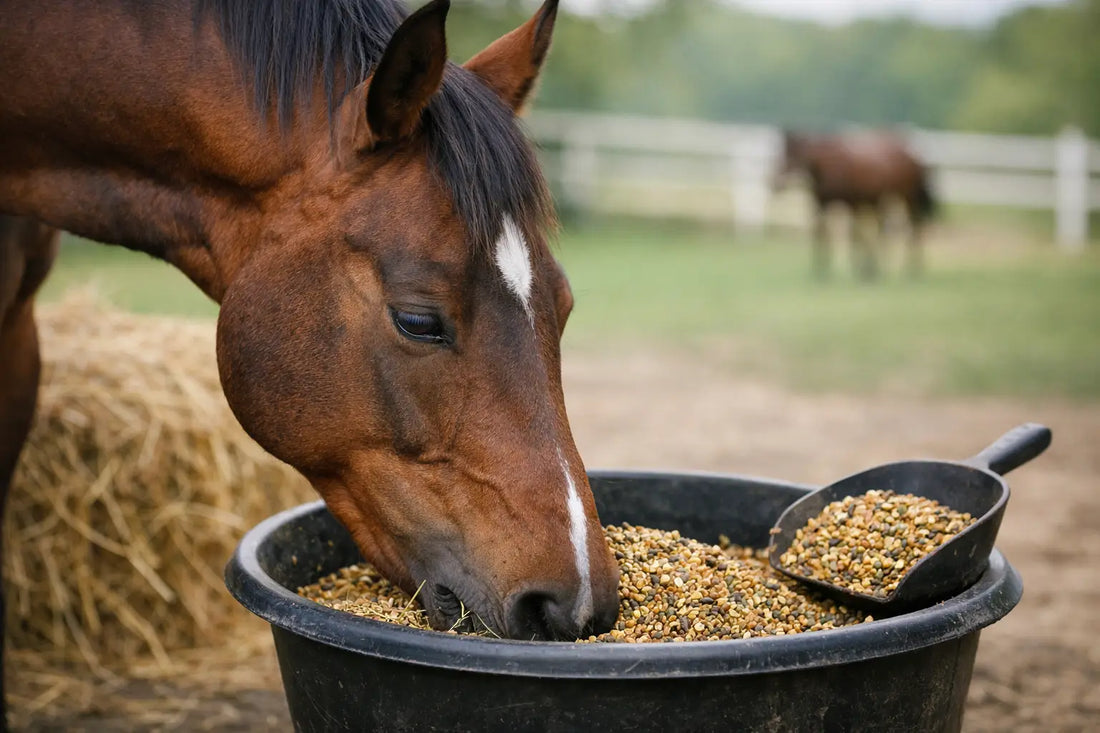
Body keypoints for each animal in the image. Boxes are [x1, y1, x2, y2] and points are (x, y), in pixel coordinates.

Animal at [773, 130, 937, 279]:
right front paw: (820, 272)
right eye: (781, 154)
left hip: (906, 197)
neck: (827, 166)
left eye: (793, 154)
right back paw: (880, 268)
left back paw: (911, 270)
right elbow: (821, 232)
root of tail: (915, 157)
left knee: (913, 226)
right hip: (881, 200)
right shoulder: (821, 204)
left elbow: (853, 235)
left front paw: (854, 270)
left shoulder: (850, 203)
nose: (776, 182)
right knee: (884, 229)